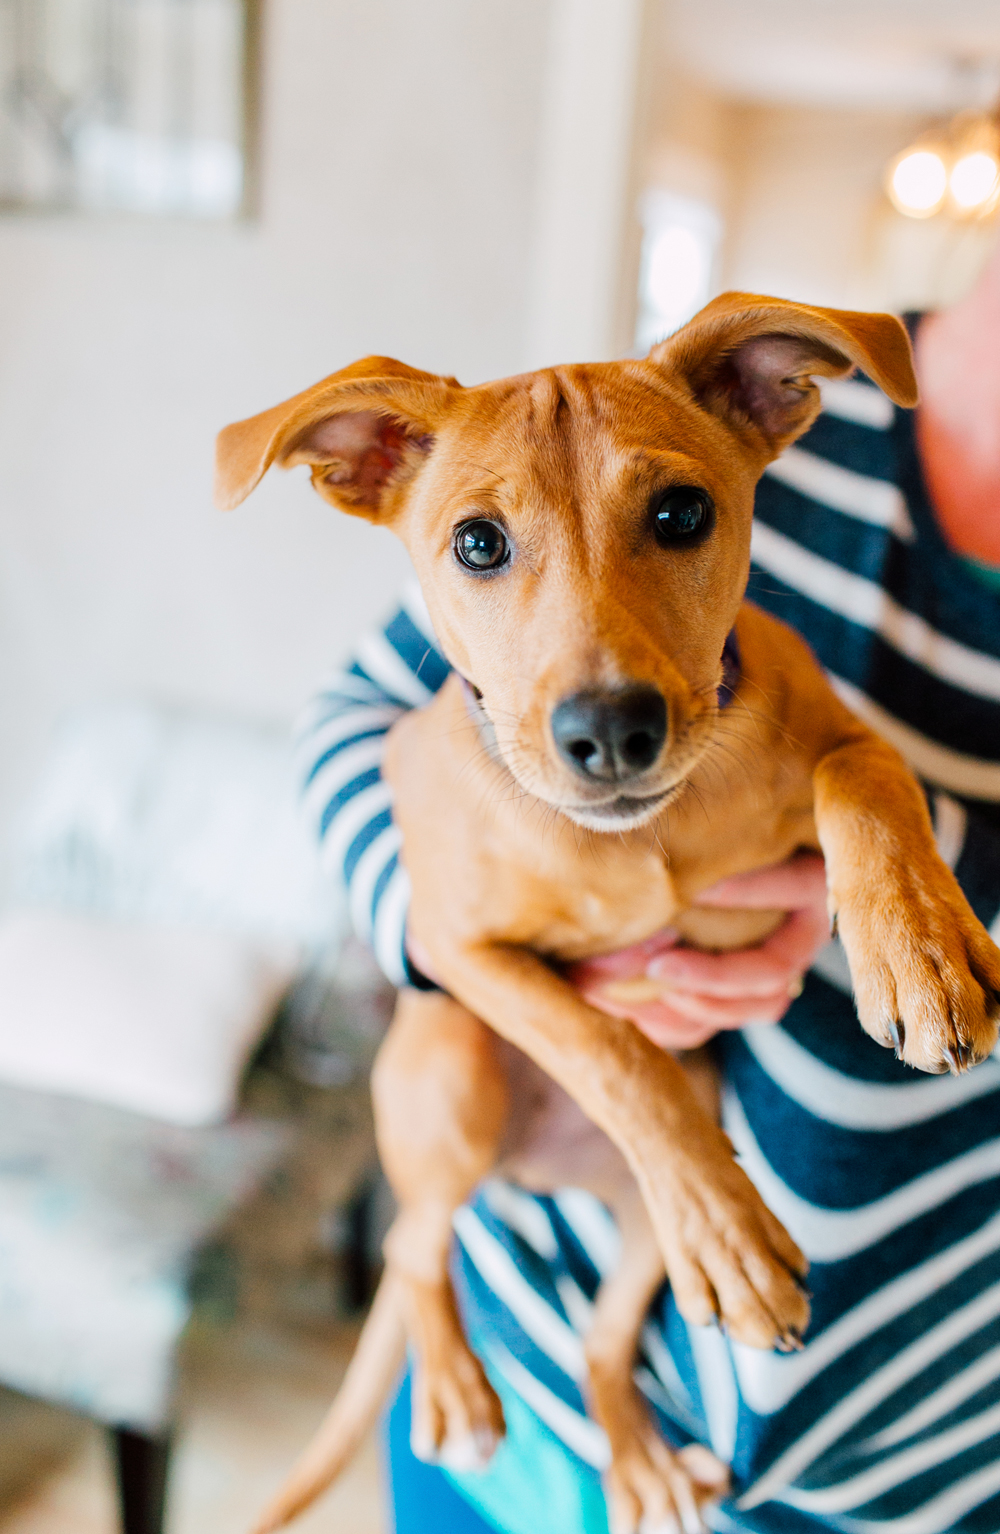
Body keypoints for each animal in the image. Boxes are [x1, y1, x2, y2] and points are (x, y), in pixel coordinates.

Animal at [219, 292, 1000, 1527]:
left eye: (682, 513)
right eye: (476, 544)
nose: (611, 732)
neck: (643, 838)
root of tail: (533, 1173)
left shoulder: (837, 735)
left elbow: (871, 783)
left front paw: (917, 944)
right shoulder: (459, 949)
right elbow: (606, 1046)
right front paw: (725, 1219)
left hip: (639, 1231)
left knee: (594, 1346)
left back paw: (643, 1451)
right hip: (449, 1078)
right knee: (417, 1249)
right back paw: (465, 1379)